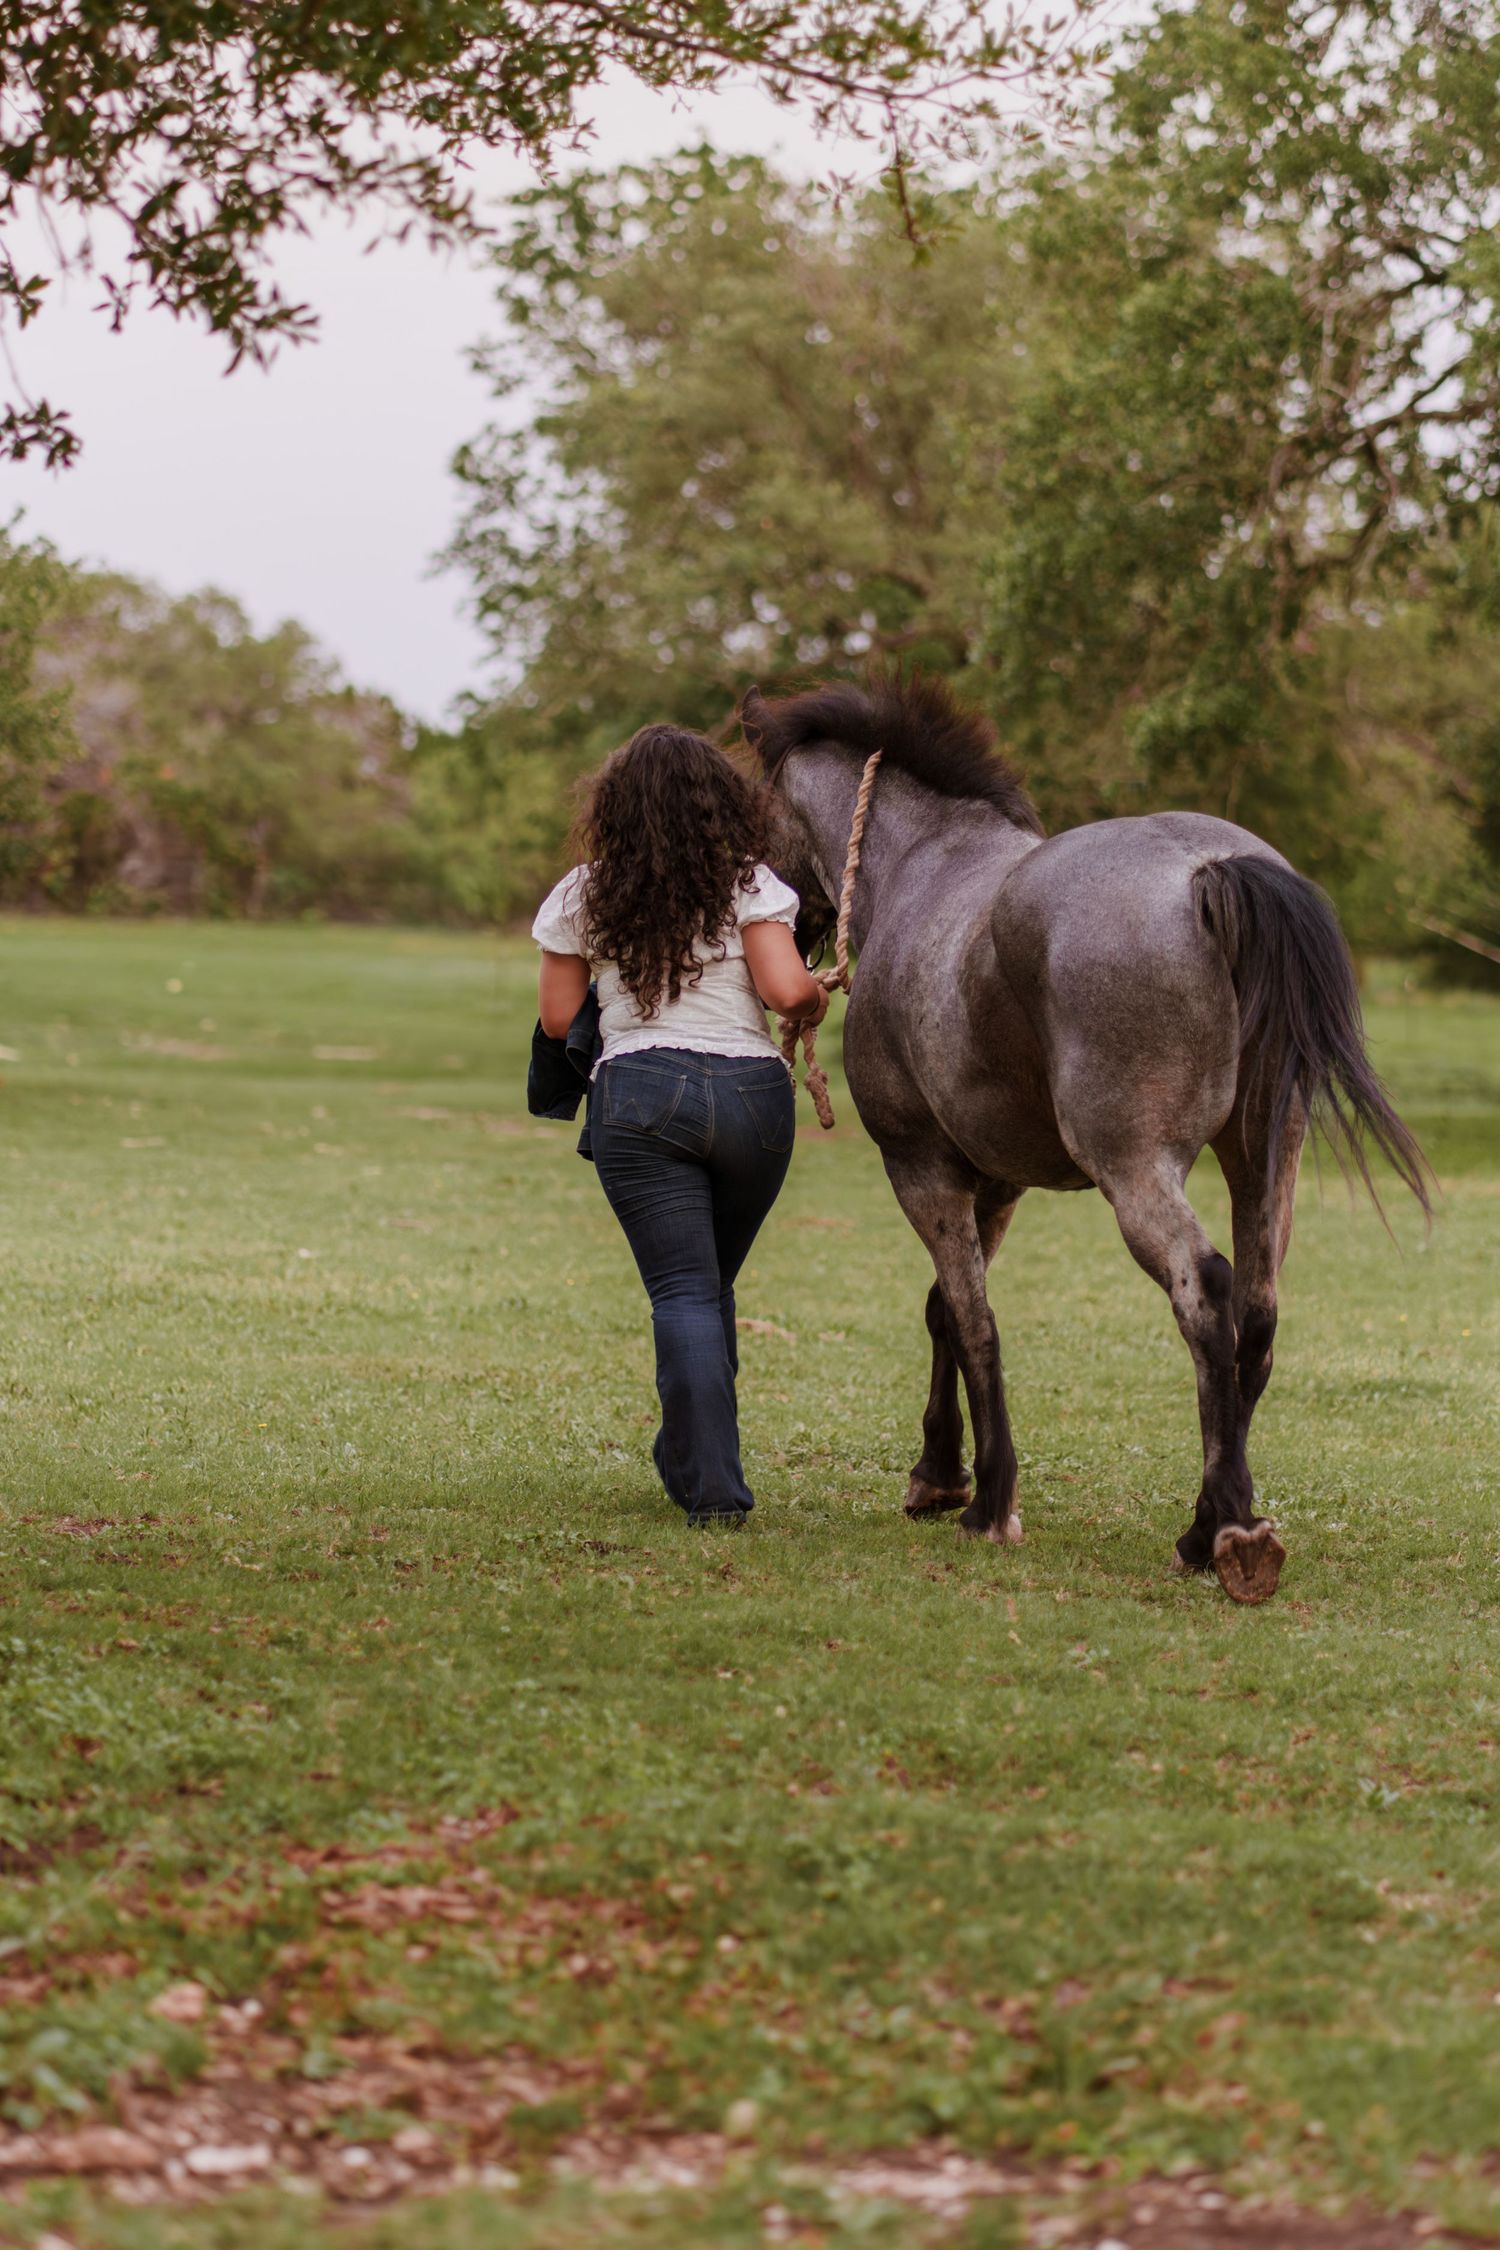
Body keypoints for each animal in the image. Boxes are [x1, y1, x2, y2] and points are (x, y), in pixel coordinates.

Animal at [739, 675, 1429, 1605]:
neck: (925, 864)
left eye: (751, 812)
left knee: (1204, 1290)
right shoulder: (992, 1182)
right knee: (1256, 1314)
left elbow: (975, 1322)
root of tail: (1210, 869)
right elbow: (945, 1312)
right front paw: (939, 1474)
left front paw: (988, 1501)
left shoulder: (921, 1169)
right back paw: (1211, 1519)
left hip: (1135, 1169)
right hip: (1262, 1159)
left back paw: (1227, 1530)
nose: (784, 939)